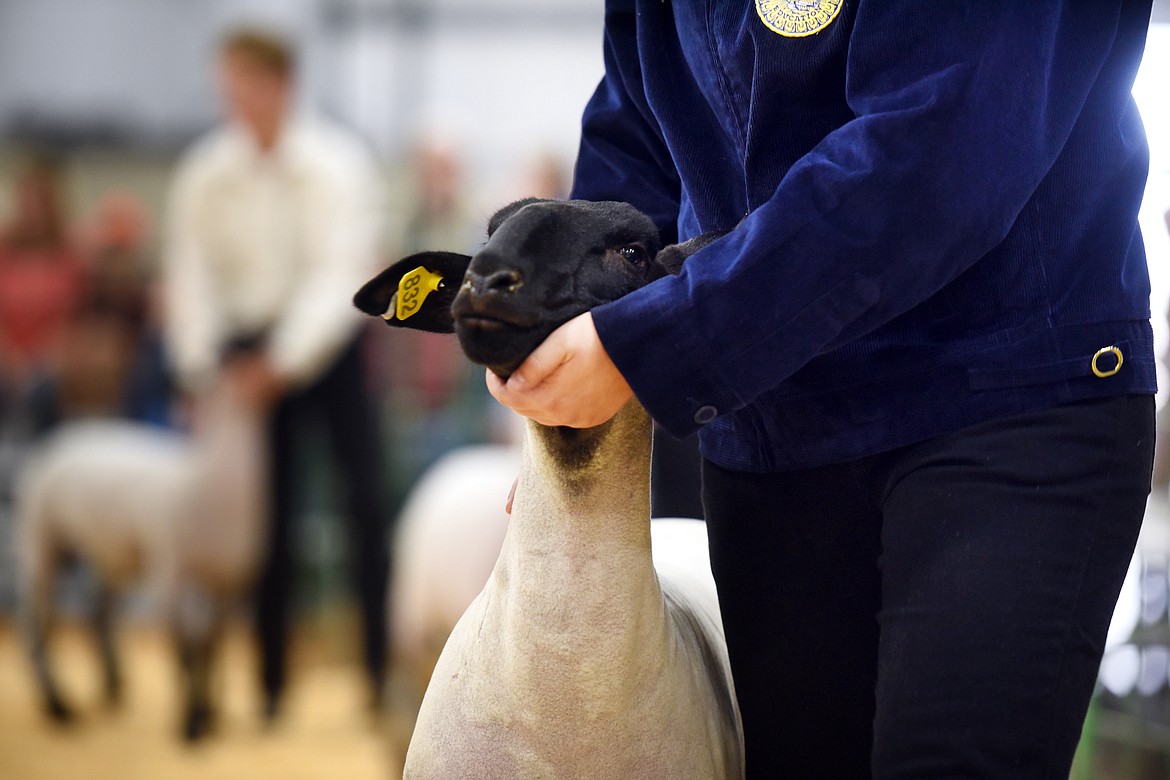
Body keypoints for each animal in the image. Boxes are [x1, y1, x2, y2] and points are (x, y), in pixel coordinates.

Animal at [17, 378, 265, 743]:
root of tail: (66, 435)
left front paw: (211, 716)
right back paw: (58, 707)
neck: (201, 484)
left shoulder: (227, 582)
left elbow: (211, 644)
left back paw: (112, 688)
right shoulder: (171, 571)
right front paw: (192, 723)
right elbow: (185, 647)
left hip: (106, 557)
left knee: (97, 610)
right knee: (37, 623)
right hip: (42, 540)